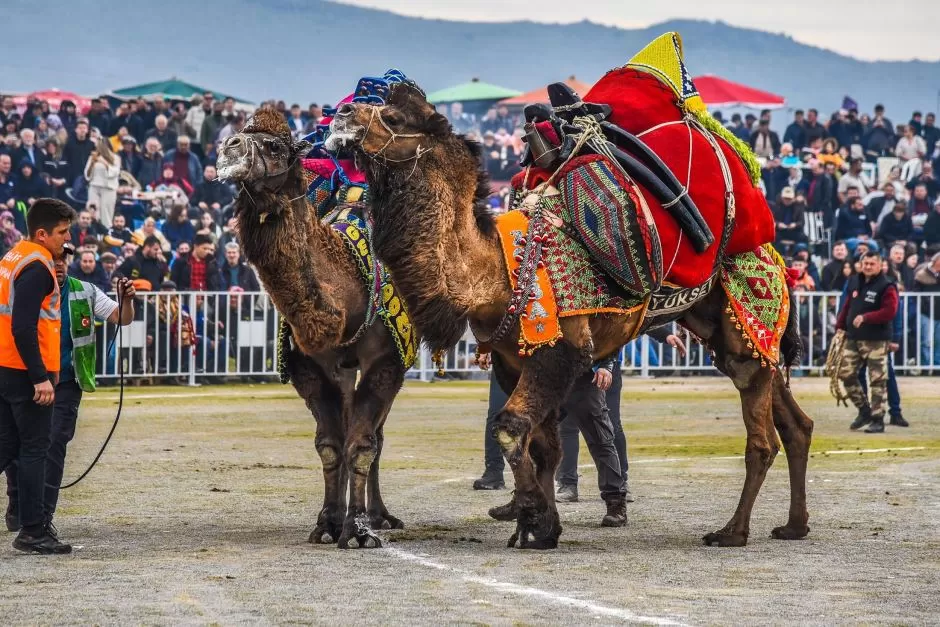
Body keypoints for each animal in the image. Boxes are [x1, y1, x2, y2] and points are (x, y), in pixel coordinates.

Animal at [218, 111, 410, 548]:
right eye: (238, 134)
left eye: (274, 146)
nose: (227, 149)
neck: (348, 292)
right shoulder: (308, 367)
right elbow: (330, 445)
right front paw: (328, 523)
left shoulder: (386, 361)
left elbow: (361, 445)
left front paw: (357, 529)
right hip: (343, 369)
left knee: (376, 435)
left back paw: (379, 516)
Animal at [326, 82, 812, 548]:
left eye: (392, 116)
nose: (340, 114)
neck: (496, 271)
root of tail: (775, 257)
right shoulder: (512, 359)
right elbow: (543, 445)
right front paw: (540, 527)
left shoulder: (561, 350)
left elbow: (510, 428)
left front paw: (532, 517)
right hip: (732, 333)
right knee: (795, 423)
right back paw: (794, 525)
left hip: (747, 317)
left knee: (761, 439)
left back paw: (732, 532)